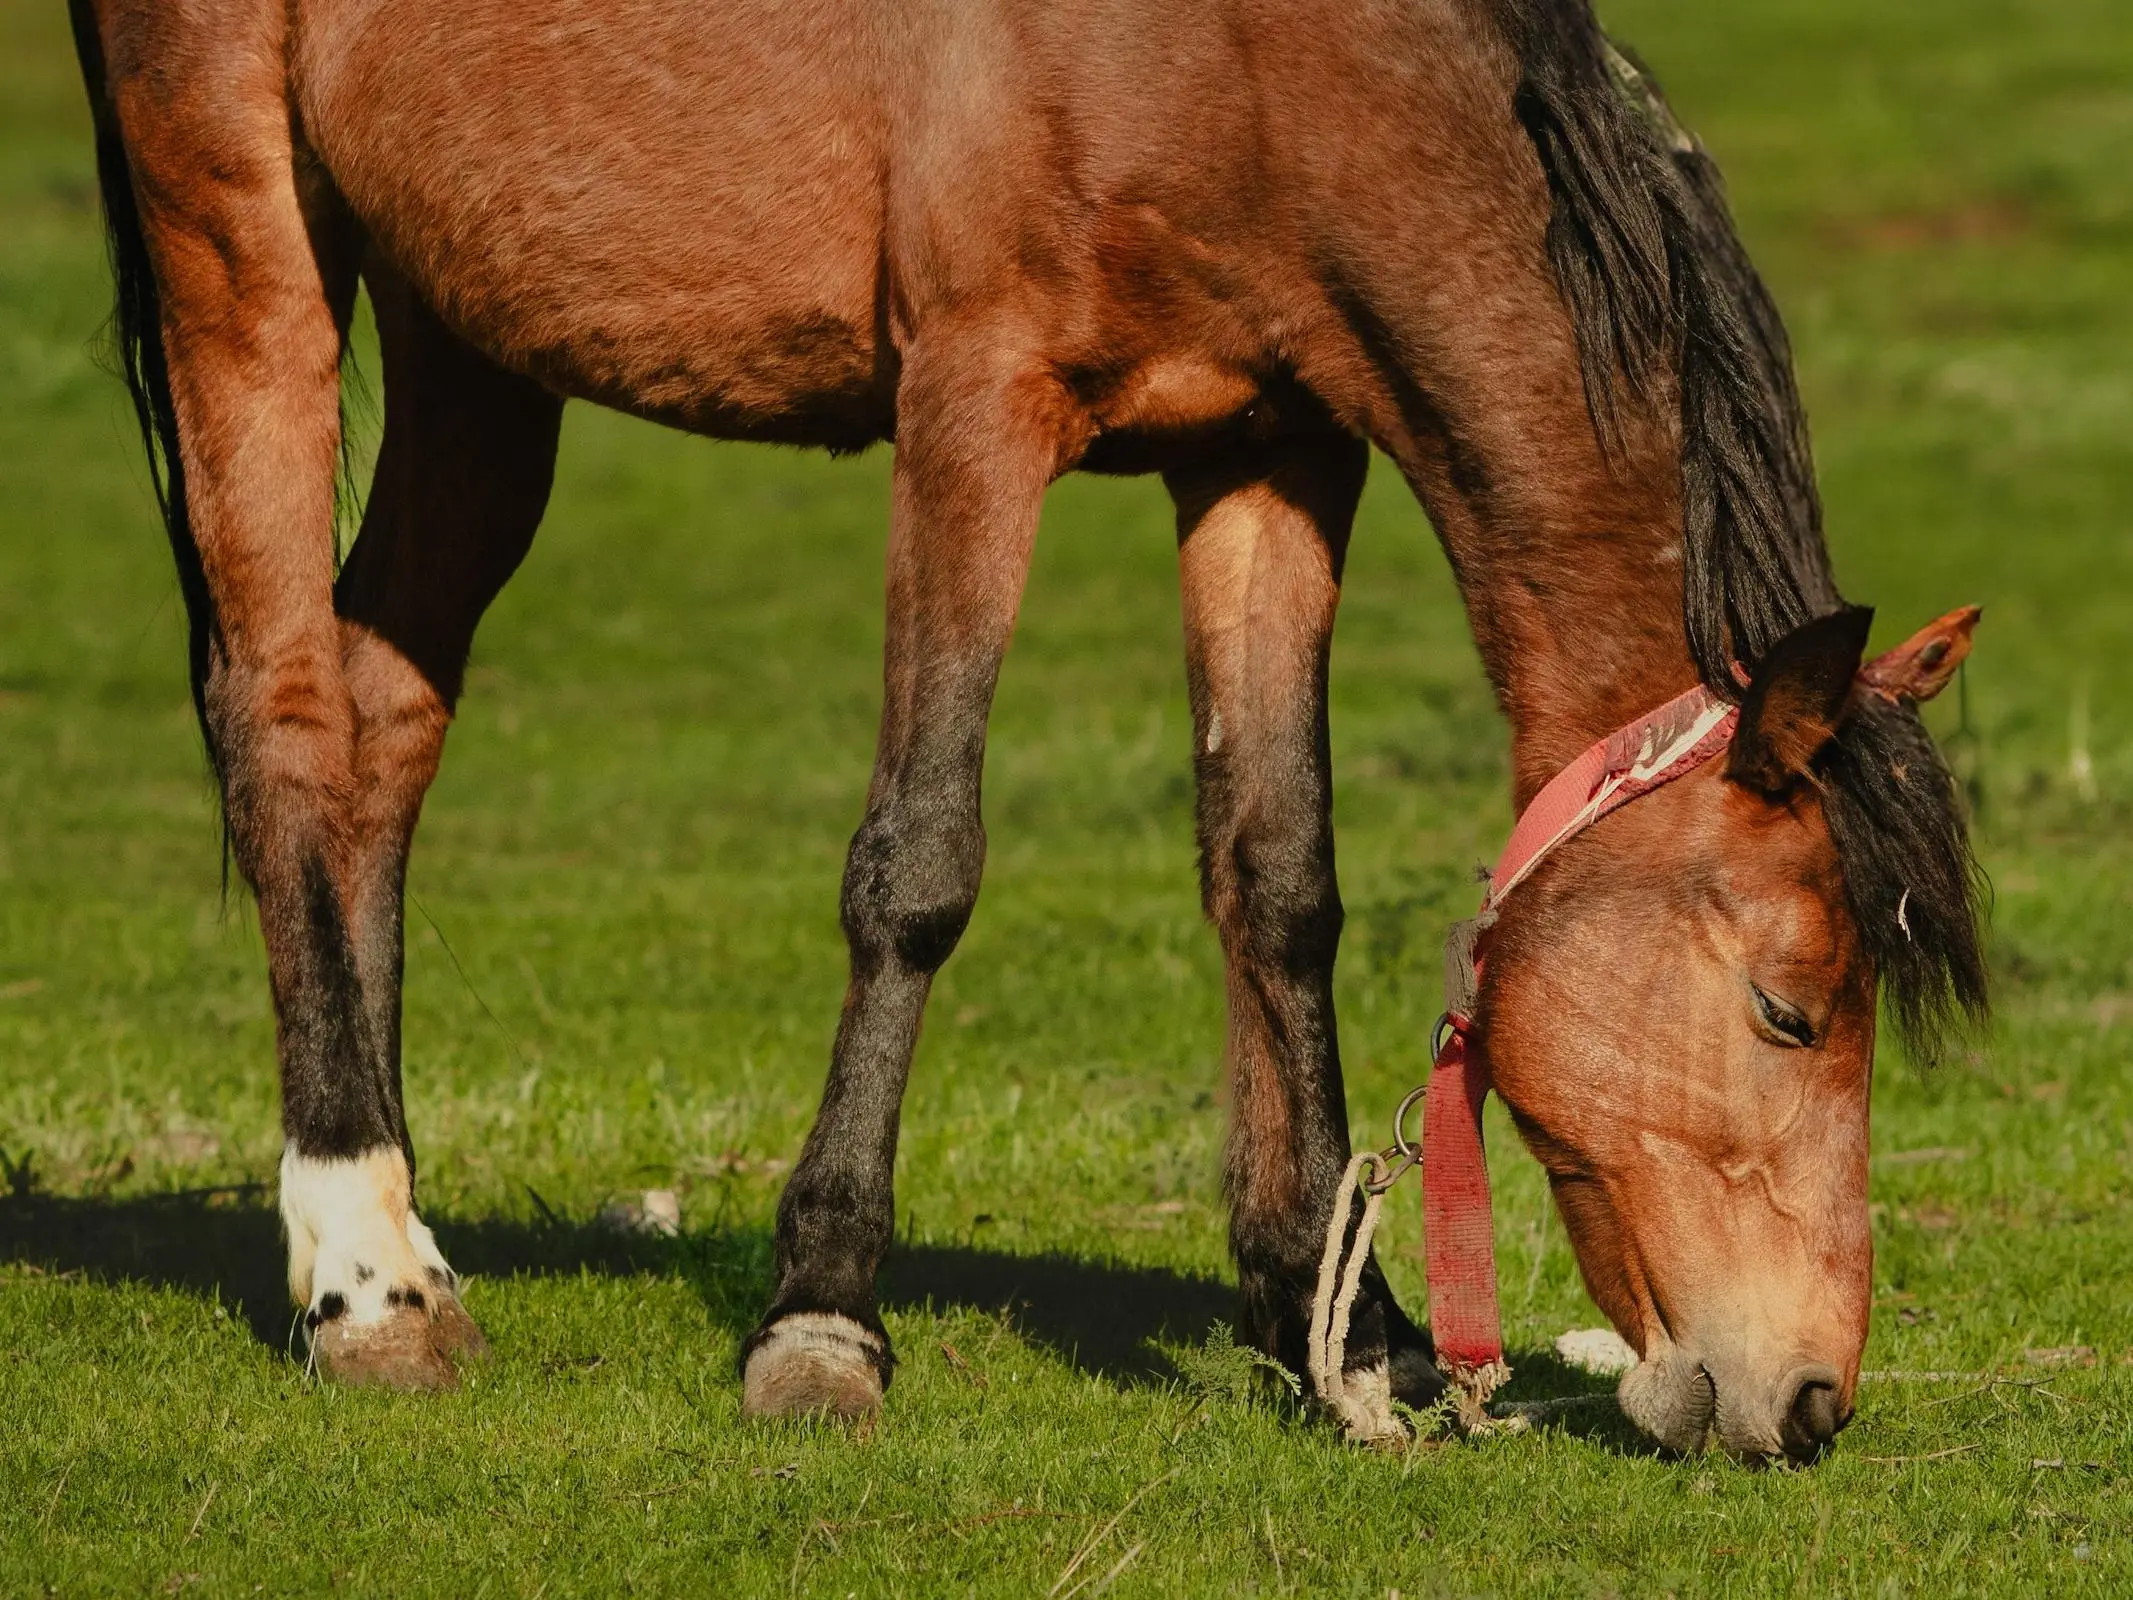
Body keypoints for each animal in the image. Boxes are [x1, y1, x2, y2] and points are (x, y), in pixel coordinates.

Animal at [75, 0, 1987, 1459]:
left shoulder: (1270, 454)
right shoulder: (970, 406)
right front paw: (821, 1317)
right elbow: (917, 864)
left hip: (471, 319)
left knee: (385, 714)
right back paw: (363, 1269)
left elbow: (1277, 875)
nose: (1809, 1400)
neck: (1241, 57)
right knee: (286, 715)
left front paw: (1340, 1324)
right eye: (1788, 1009)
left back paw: (391, 1205)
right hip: (241, 226)